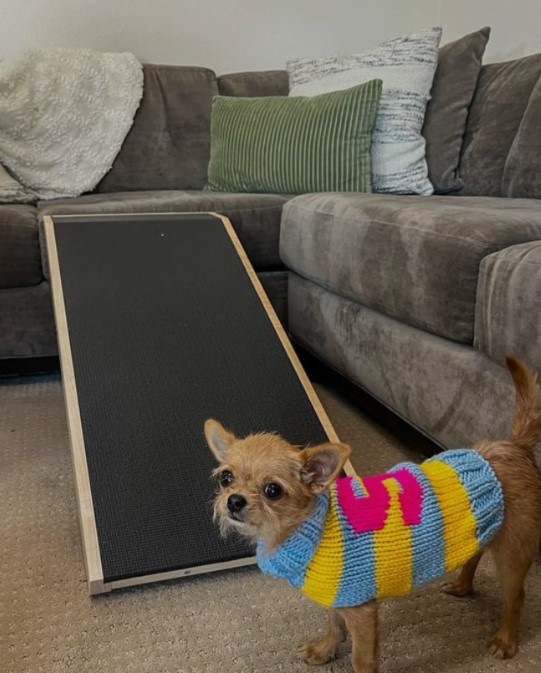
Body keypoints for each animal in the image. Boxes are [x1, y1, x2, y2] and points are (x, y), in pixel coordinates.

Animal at [202, 354, 540, 668]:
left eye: (273, 490)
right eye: (226, 478)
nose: (234, 500)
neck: (313, 526)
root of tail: (513, 447)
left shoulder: (362, 612)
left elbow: (361, 658)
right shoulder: (339, 595)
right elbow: (333, 624)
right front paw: (324, 651)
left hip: (512, 555)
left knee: (516, 598)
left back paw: (505, 639)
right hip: (480, 528)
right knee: (474, 555)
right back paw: (462, 586)